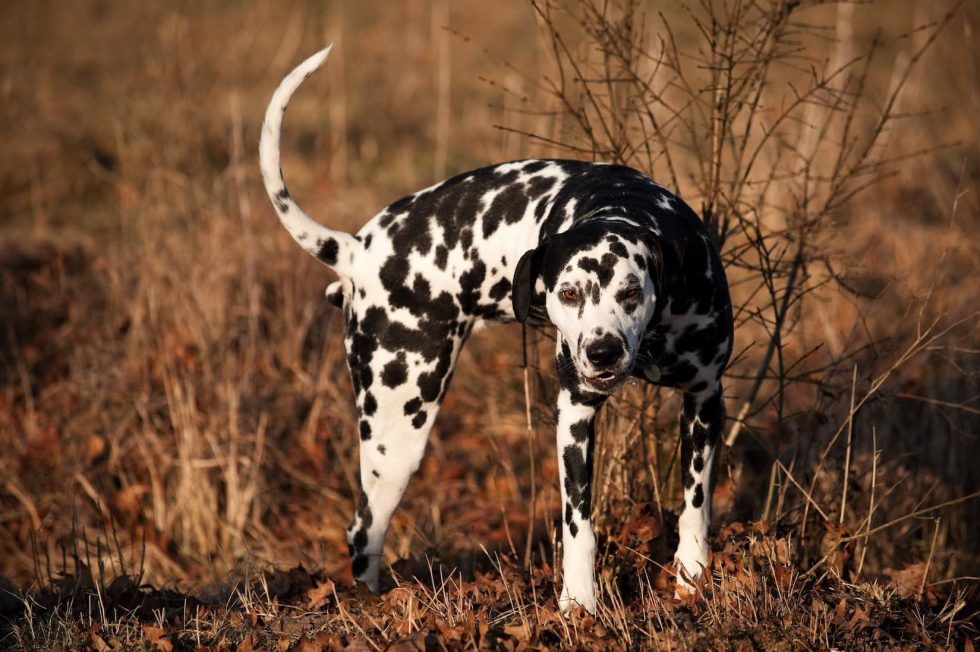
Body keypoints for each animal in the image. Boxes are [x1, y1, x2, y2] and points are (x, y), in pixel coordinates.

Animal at [256, 48, 732, 612]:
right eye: (568, 294)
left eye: (632, 291)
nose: (602, 352)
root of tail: (358, 248)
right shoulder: (575, 416)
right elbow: (578, 527)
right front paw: (579, 605)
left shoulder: (704, 398)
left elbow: (696, 507)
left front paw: (692, 577)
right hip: (397, 431)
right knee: (363, 529)